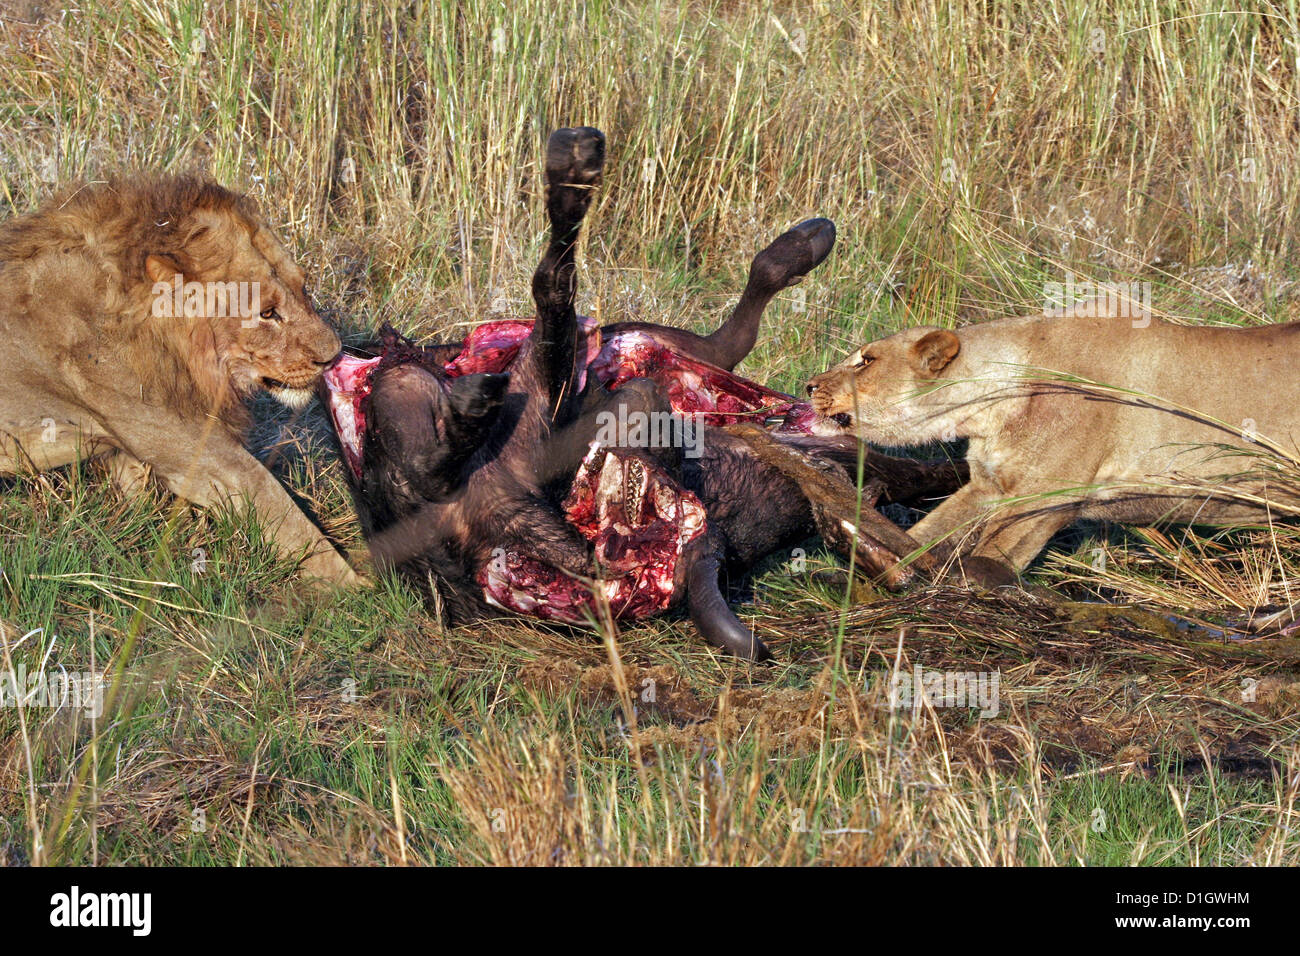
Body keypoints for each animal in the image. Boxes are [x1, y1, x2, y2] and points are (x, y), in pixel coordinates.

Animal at [0, 175, 358, 587]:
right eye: (267, 312)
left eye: (303, 288)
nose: (333, 355)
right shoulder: (200, 454)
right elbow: (279, 507)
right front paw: (360, 590)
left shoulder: (128, 453)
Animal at [806, 299, 1300, 582]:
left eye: (866, 361)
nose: (810, 385)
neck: (989, 406)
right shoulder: (988, 486)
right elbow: (929, 534)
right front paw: (880, 564)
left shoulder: (1046, 495)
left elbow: (989, 557)